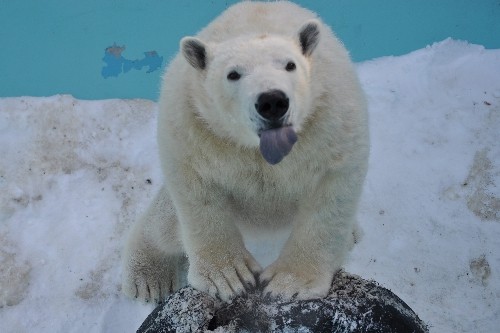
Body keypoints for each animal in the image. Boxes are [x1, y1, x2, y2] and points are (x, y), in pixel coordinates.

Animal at [123, 1, 370, 304]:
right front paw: (230, 275)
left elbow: (331, 194)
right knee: (165, 224)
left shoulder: (330, 120)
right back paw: (148, 277)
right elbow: (196, 191)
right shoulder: (194, 124)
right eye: (233, 74)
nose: (272, 101)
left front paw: (290, 282)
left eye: (290, 65)